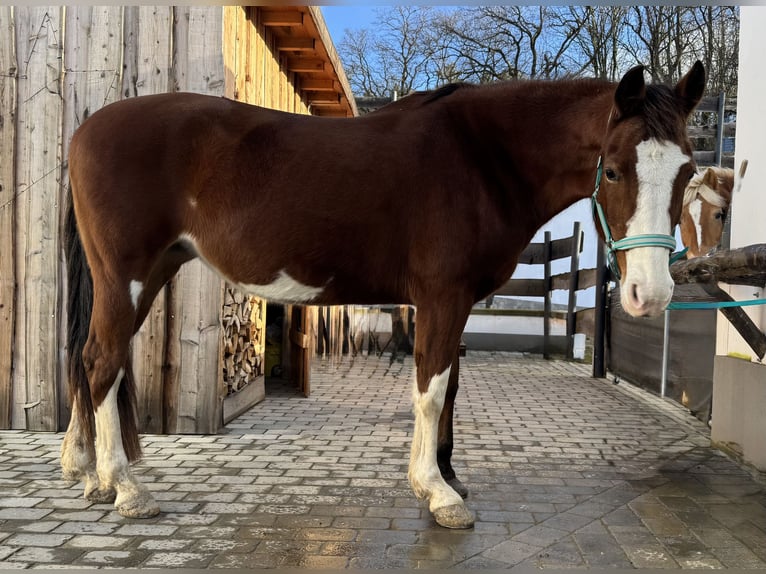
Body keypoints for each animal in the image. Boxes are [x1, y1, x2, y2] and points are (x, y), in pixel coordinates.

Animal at [61, 62, 705, 529]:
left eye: (688, 172)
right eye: (614, 170)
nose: (650, 293)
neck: (482, 158)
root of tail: (86, 129)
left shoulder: (456, 302)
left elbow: (449, 390)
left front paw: (449, 476)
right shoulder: (442, 297)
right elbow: (431, 389)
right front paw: (437, 493)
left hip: (148, 274)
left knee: (92, 359)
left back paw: (87, 473)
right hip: (127, 276)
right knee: (101, 363)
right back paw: (125, 487)